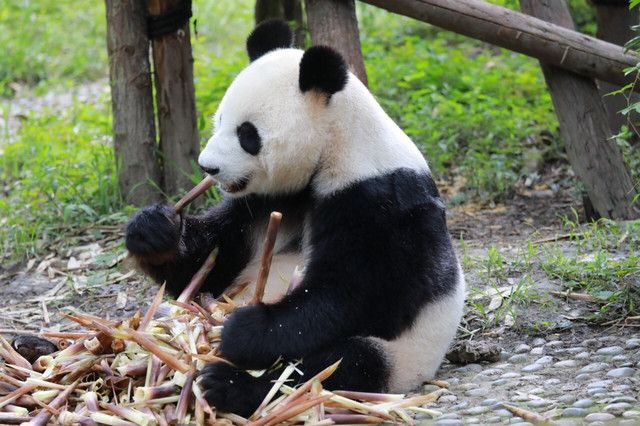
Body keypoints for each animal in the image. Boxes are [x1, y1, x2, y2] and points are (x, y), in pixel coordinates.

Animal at [125, 19, 464, 416]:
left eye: (247, 134)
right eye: (219, 120)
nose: (208, 167)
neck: (337, 144)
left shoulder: (381, 202)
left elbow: (360, 295)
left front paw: (245, 329)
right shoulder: (270, 201)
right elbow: (213, 261)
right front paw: (154, 231)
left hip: (405, 354)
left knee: (338, 365)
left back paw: (228, 385)